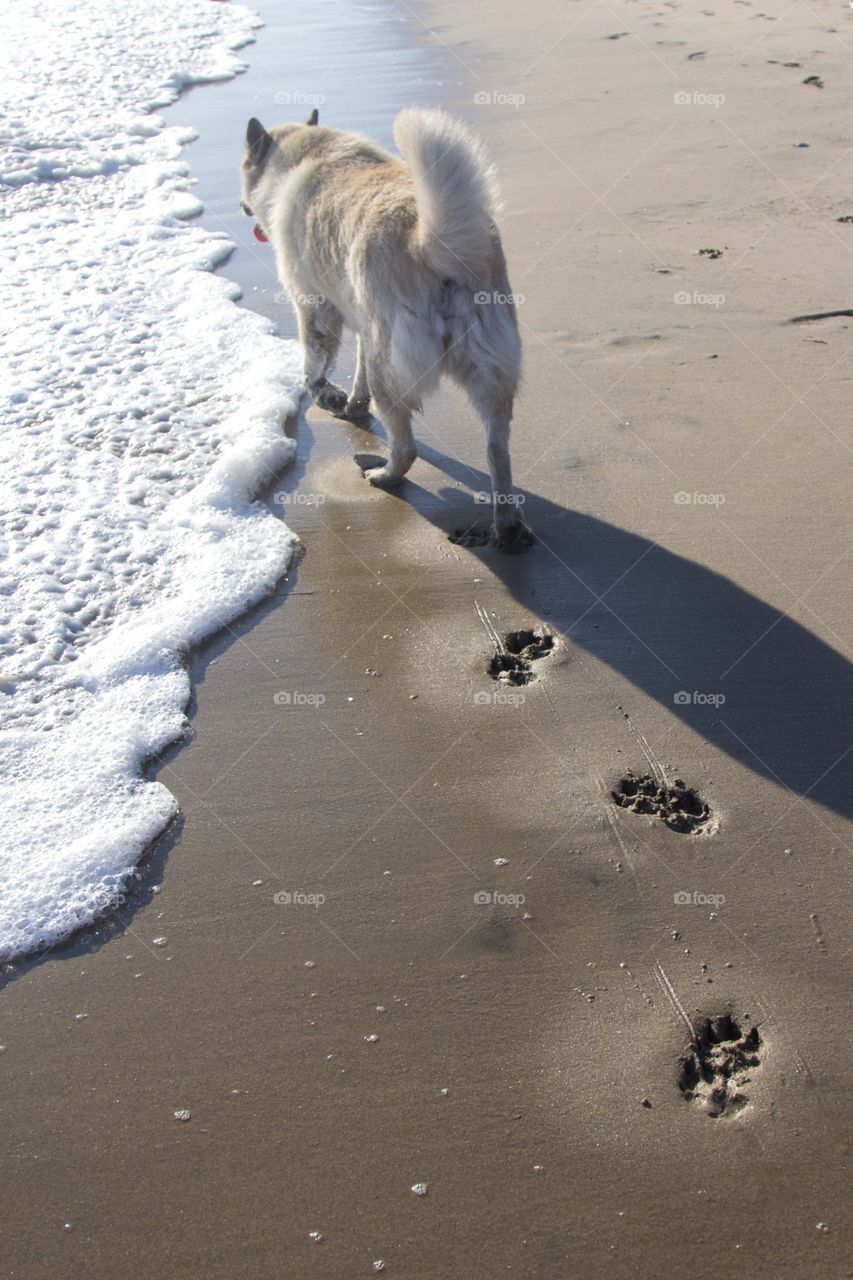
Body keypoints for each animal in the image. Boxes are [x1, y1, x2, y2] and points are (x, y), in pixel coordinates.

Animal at [239, 107, 527, 547]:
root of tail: (429, 243)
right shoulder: (363, 327)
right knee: (498, 453)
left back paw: (383, 476)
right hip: (486, 371)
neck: (308, 152)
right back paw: (506, 525)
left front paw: (325, 395)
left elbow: (313, 364)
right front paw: (352, 405)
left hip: (390, 369)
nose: (242, 207)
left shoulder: (314, 306)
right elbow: (355, 378)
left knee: (406, 447)